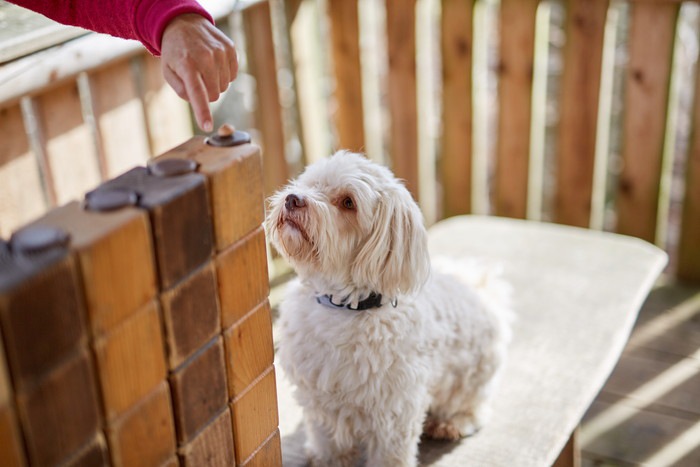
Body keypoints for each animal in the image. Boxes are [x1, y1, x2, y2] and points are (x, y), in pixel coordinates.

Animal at [268, 152, 516, 466]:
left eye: (348, 202)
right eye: (310, 183)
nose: (293, 198)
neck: (343, 306)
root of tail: (483, 289)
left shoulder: (395, 410)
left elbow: (390, 454)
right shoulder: (319, 399)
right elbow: (327, 440)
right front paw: (327, 459)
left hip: (471, 381)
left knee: (474, 409)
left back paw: (451, 423)